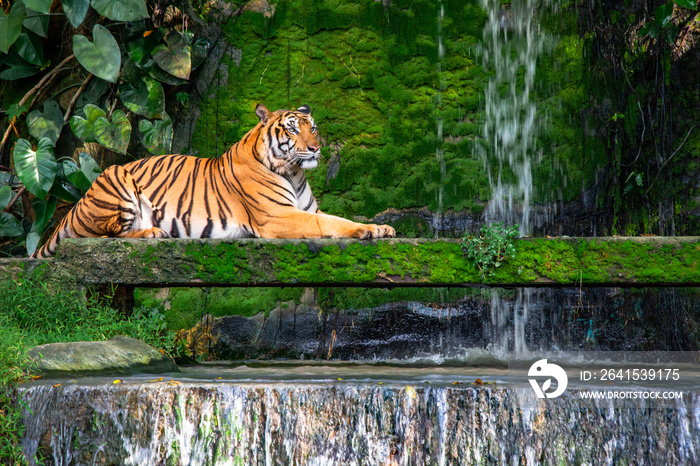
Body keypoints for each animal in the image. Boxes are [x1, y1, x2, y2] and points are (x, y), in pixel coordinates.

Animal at [31, 103, 394, 258]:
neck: (293, 171)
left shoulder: (304, 210)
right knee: (104, 236)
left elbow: (334, 217)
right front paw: (369, 230)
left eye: (312, 127)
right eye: (292, 129)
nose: (316, 148)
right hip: (117, 181)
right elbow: (331, 223)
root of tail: (75, 207)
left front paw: (381, 227)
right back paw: (152, 233)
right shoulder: (276, 217)